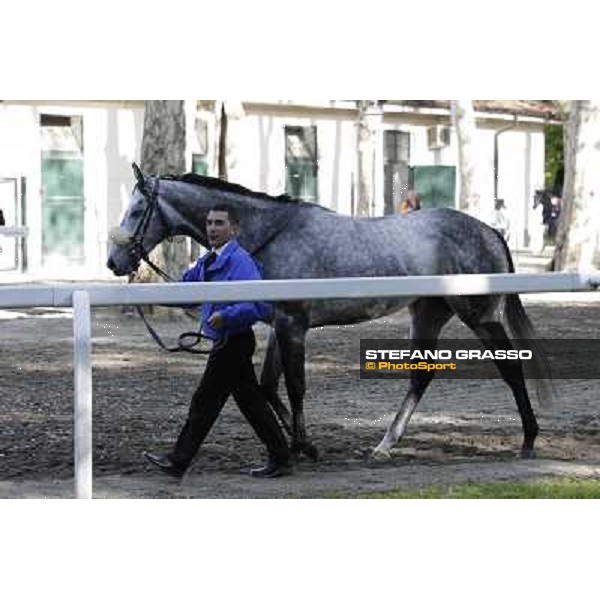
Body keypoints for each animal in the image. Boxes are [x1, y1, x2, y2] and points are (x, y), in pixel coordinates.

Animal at [105, 166, 552, 462]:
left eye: (137, 209)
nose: (113, 261)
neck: (270, 235)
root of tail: (489, 231)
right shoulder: (280, 325)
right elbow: (269, 385)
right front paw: (299, 443)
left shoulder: (293, 324)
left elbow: (296, 386)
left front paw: (304, 444)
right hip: (428, 313)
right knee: (420, 378)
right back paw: (385, 444)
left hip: (479, 314)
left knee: (511, 368)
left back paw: (529, 439)